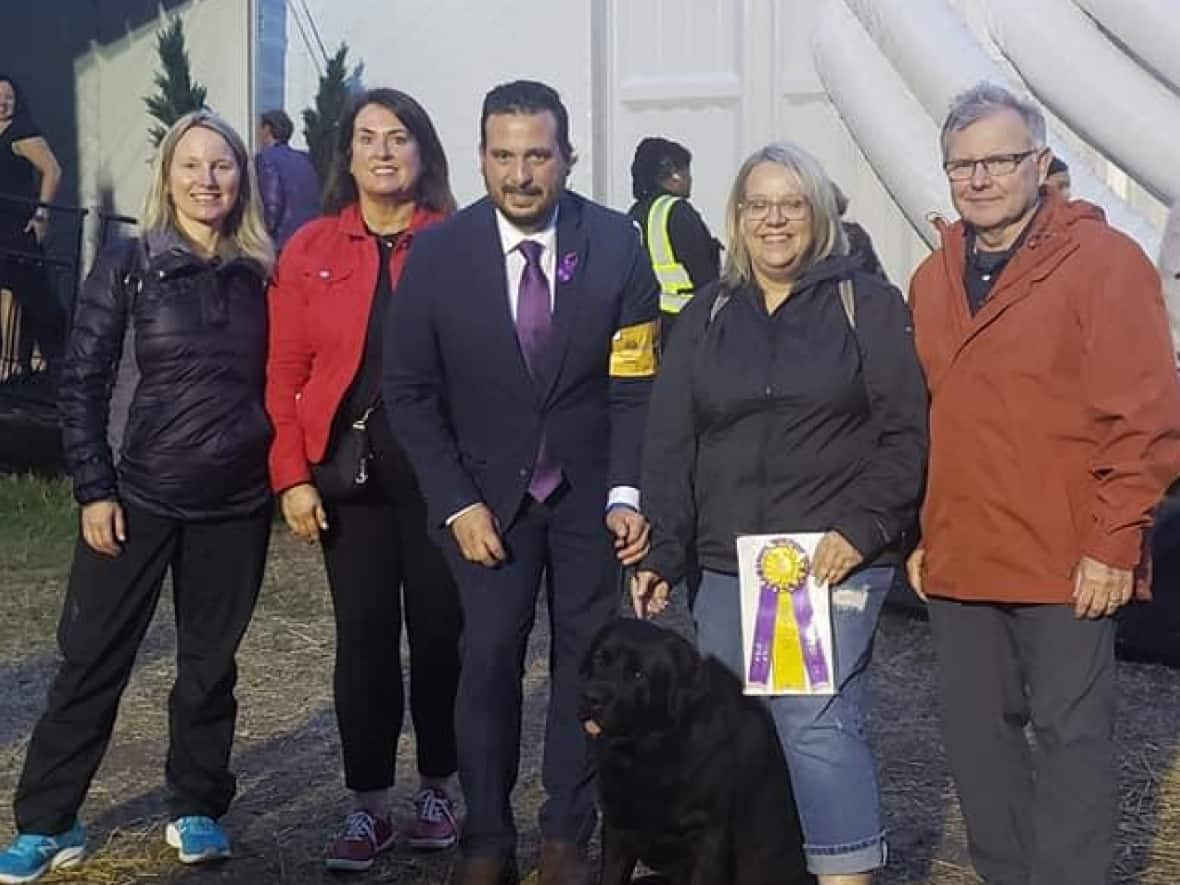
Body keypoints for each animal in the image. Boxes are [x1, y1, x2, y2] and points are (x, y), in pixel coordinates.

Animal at [578, 618, 811, 885]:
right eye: (599, 658)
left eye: (638, 675)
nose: (591, 697)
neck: (651, 753)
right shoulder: (618, 827)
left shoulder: (708, 837)